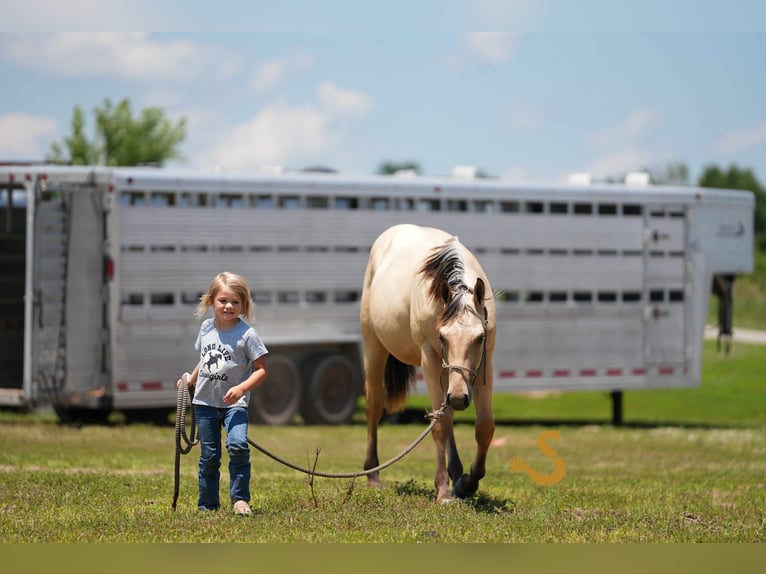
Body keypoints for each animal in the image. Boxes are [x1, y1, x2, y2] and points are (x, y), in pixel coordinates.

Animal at [360, 223, 496, 502]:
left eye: (479, 338)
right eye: (442, 337)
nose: (459, 397)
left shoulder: (484, 362)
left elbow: (484, 427)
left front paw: (468, 483)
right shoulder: (431, 360)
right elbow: (440, 425)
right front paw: (443, 490)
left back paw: (457, 473)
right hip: (373, 347)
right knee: (374, 406)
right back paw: (373, 475)